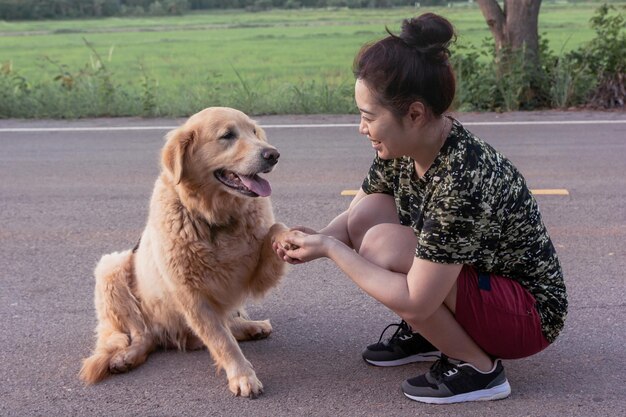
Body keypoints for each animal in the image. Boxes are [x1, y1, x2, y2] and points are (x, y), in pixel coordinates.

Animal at [78, 106, 290, 396]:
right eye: (227, 135)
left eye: (254, 132)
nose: (273, 154)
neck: (213, 218)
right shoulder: (191, 295)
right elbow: (222, 341)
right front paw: (242, 376)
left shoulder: (254, 279)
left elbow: (276, 228)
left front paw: (289, 239)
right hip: (111, 269)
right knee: (143, 335)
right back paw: (126, 357)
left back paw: (252, 327)